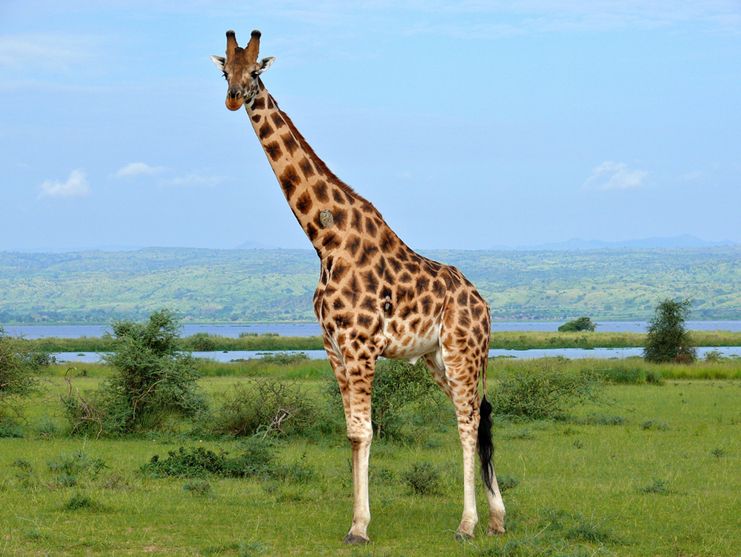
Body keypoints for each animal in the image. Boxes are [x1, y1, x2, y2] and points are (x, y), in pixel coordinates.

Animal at [211, 29, 506, 543]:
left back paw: (467, 525)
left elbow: (365, 431)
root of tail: (484, 305)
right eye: (224, 69)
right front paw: (357, 520)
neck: (324, 239)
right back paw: (496, 518)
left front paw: (360, 527)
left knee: (468, 421)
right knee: (474, 414)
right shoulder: (332, 346)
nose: (233, 97)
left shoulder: (361, 344)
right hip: (437, 358)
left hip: (463, 350)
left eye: (255, 72)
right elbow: (350, 432)